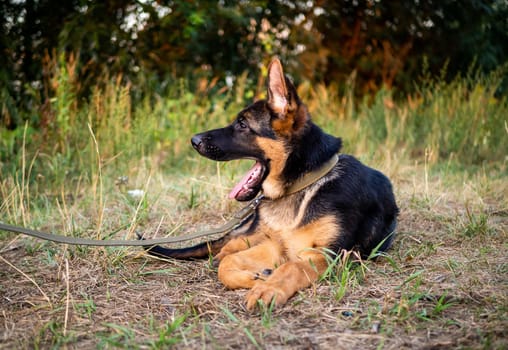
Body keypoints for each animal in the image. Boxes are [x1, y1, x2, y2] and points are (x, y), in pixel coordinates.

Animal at [145, 58, 398, 310]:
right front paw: (255, 278)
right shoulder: (275, 245)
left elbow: (291, 267)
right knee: (231, 243)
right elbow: (228, 263)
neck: (303, 185)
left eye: (242, 124)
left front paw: (268, 287)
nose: (194, 140)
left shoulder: (325, 254)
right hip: (254, 229)